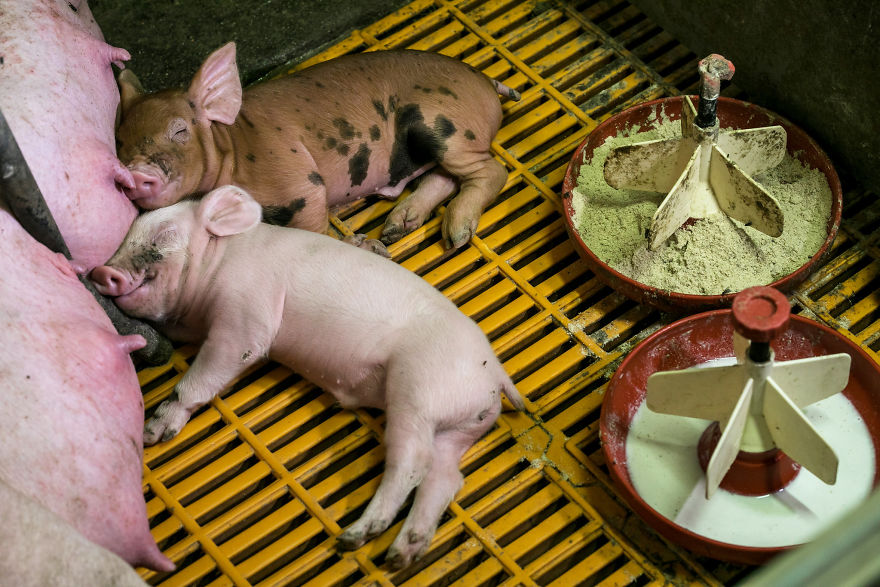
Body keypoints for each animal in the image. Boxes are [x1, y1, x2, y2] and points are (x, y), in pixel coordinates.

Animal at [91, 185, 525, 568]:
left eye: (165, 234)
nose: (101, 271)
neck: (218, 262)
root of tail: (495, 374)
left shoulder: (246, 314)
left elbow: (217, 366)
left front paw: (153, 433)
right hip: (460, 428)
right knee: (446, 479)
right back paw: (401, 555)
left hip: (417, 391)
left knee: (412, 462)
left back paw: (352, 538)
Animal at [115, 43, 520, 252]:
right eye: (119, 141)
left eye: (180, 129)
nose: (135, 171)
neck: (232, 148)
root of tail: (485, 80)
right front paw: (379, 244)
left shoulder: (298, 184)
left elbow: (315, 230)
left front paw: (371, 249)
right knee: (444, 178)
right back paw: (396, 227)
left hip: (443, 124)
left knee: (492, 171)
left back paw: (455, 237)